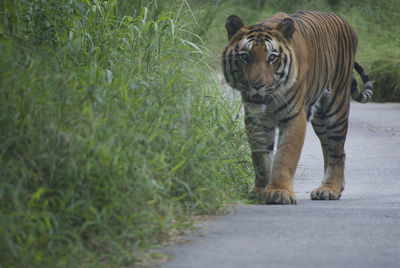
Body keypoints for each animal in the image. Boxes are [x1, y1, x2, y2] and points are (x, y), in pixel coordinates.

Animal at [222, 9, 372, 203]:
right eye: (244, 56)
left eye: (272, 57)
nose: (257, 85)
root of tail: (344, 21)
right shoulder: (256, 120)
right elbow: (260, 158)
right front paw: (260, 190)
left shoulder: (294, 117)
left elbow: (285, 155)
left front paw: (279, 191)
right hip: (320, 119)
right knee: (329, 148)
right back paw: (326, 187)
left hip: (335, 108)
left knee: (337, 151)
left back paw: (330, 189)